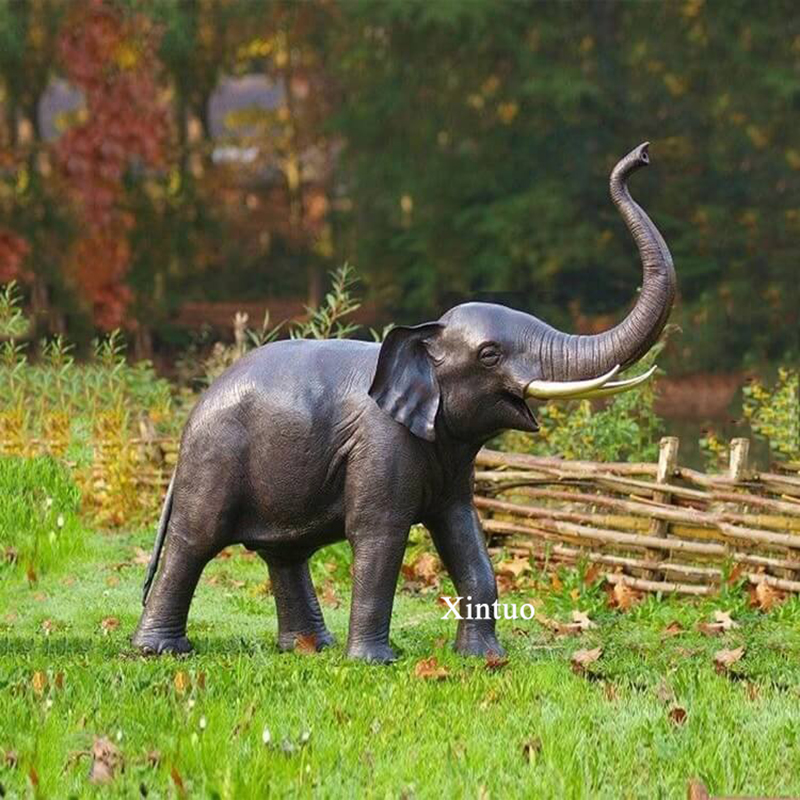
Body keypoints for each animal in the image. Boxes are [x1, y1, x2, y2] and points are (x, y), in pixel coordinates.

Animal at [136, 142, 676, 664]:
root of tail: (191, 418)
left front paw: (484, 660)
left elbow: (463, 530)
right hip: (216, 459)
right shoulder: (381, 443)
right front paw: (374, 663)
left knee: (284, 553)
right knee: (195, 541)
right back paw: (161, 652)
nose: (644, 154)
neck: (423, 333)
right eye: (489, 354)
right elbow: (379, 532)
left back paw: (309, 648)